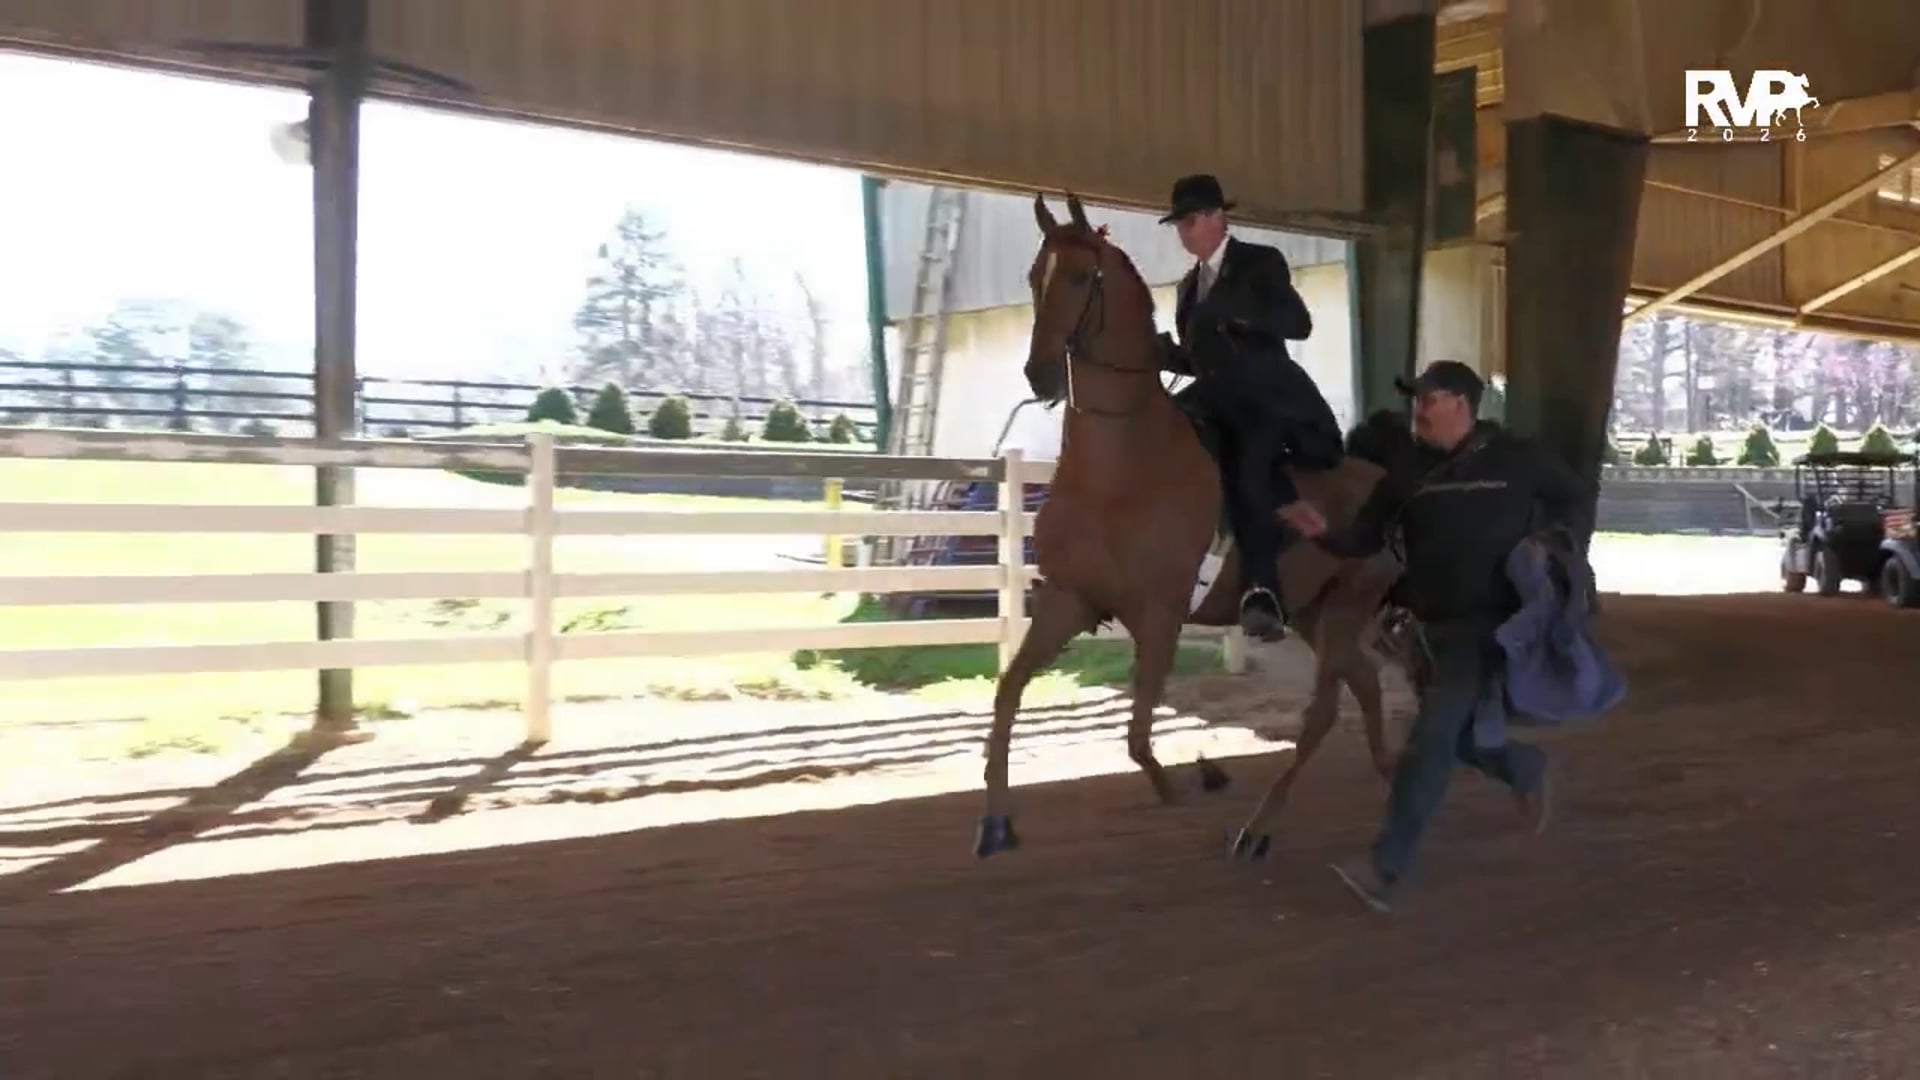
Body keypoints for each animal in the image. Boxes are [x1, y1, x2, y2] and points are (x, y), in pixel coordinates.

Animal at [976, 191, 1403, 859]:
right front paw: (996, 821)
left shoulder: (1159, 613)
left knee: (1324, 711)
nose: (1039, 375)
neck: (1120, 469)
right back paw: (1387, 777)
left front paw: (1202, 778)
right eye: (1033, 276)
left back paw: (1258, 828)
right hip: (1315, 613)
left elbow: (1137, 732)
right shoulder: (1070, 600)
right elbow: (1009, 693)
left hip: (1340, 611)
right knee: (1363, 683)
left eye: (1081, 277)